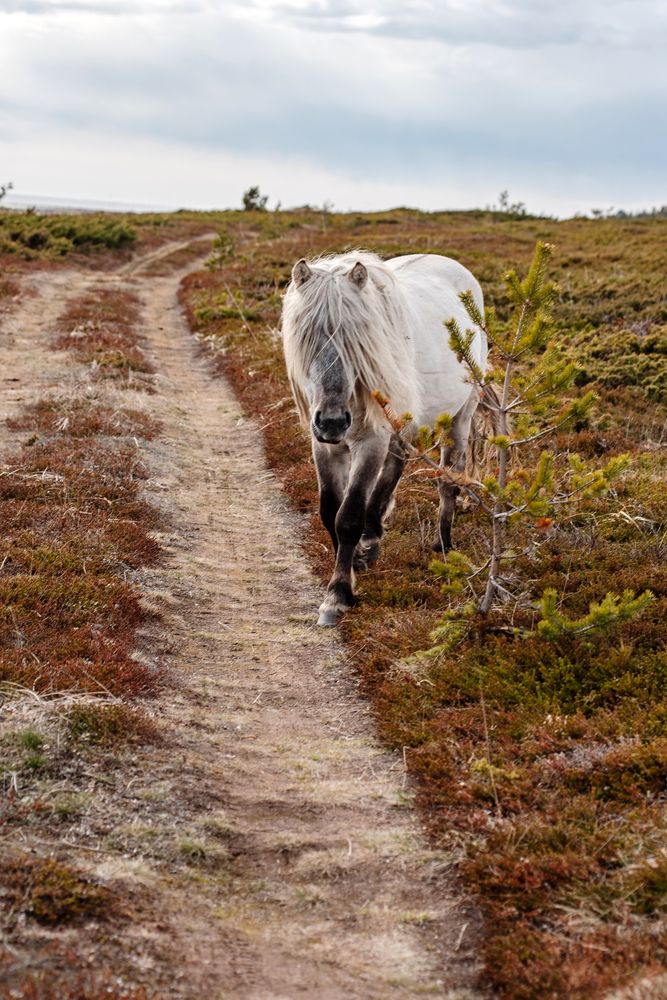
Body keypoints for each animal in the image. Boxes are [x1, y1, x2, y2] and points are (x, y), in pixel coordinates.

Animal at [281, 250, 488, 627]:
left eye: (357, 342)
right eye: (307, 338)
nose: (333, 422)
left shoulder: (370, 442)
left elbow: (348, 516)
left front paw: (337, 596)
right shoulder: (324, 447)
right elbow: (329, 511)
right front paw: (352, 569)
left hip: (461, 416)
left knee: (449, 476)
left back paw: (444, 542)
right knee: (395, 466)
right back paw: (374, 533)